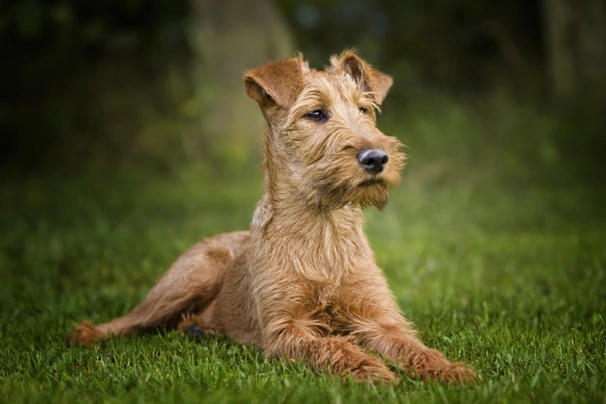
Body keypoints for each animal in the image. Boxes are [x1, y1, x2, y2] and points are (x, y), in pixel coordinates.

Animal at [69, 49, 478, 382]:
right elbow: (331, 346)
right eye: (316, 113)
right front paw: (370, 369)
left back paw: (199, 329)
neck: (323, 231)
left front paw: (451, 371)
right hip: (190, 276)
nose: (376, 158)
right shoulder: (285, 328)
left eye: (364, 110)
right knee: (131, 320)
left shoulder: (379, 318)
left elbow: (414, 347)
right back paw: (87, 333)